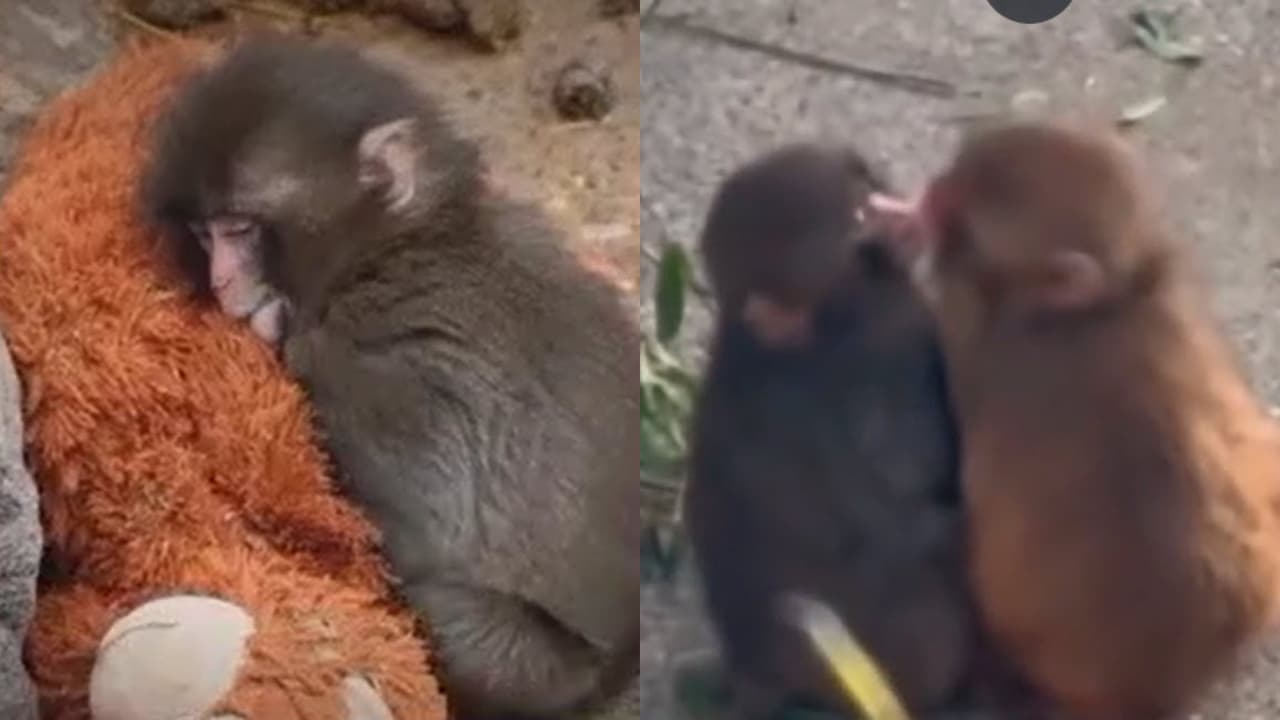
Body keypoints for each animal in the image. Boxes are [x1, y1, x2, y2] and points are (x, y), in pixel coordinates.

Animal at [140, 37, 639, 720]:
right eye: (203, 231)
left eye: (240, 228)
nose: (221, 280)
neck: (395, 244)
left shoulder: (387, 345)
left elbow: (432, 520)